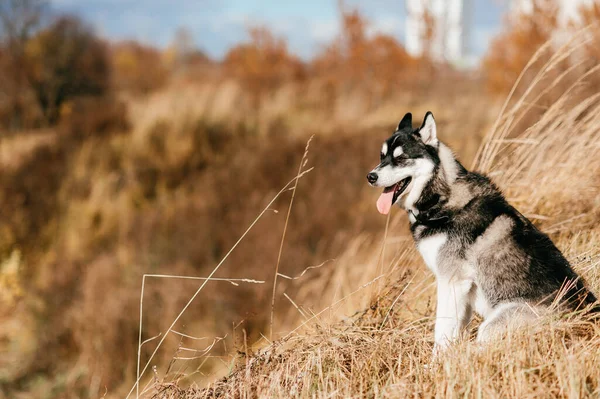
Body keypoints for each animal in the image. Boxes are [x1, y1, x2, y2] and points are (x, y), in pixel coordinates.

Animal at [366, 111, 596, 352]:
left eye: (400, 158)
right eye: (382, 157)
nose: (371, 176)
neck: (441, 199)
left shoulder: (452, 281)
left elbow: (441, 331)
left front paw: (436, 361)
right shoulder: (462, 291)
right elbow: (456, 330)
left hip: (492, 326)